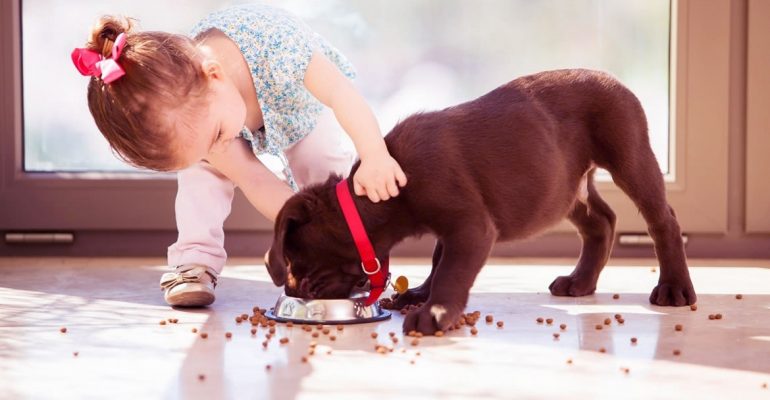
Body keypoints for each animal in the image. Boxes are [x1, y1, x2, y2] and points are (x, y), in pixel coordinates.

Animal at [266, 69, 696, 334]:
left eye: (296, 262)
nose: (294, 290)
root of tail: (613, 78)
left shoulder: (469, 225)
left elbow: (452, 270)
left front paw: (434, 312)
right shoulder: (453, 227)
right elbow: (438, 260)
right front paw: (420, 295)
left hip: (630, 155)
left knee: (663, 220)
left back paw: (674, 288)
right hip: (563, 187)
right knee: (601, 221)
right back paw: (580, 281)